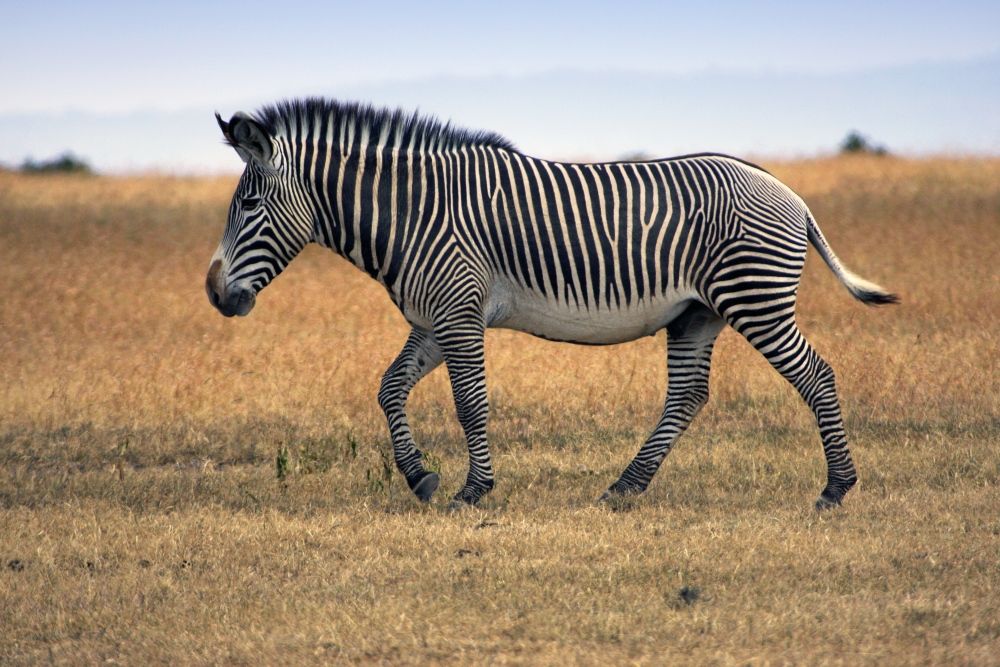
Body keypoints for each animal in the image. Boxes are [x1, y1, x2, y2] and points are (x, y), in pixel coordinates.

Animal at [205, 98, 900, 512]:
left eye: (249, 206)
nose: (213, 293)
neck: (412, 215)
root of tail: (790, 193)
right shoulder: (433, 319)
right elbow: (389, 387)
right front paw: (420, 477)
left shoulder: (459, 311)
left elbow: (469, 403)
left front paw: (473, 490)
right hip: (696, 314)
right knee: (687, 396)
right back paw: (623, 488)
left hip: (754, 298)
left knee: (816, 376)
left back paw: (836, 488)